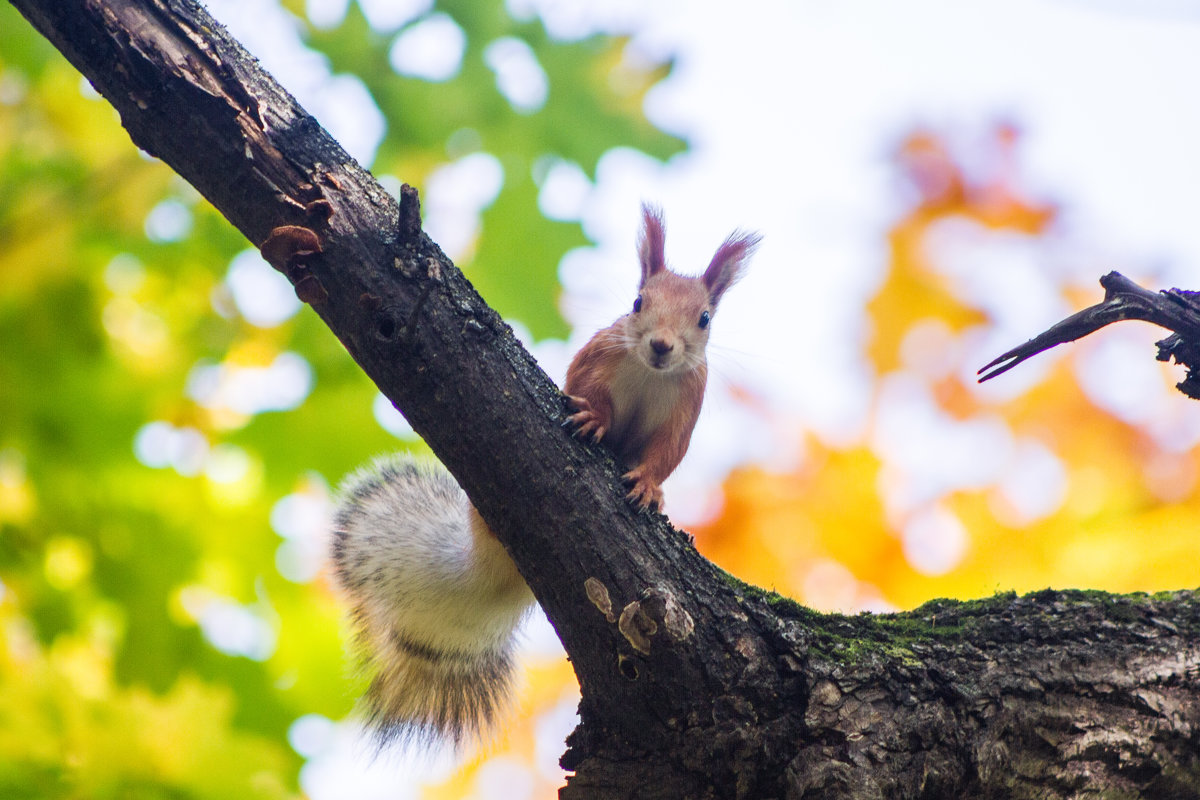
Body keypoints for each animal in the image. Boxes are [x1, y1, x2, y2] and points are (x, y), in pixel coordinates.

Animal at [328, 203, 758, 748]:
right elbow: (588, 392)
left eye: (704, 319)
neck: (649, 373)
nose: (662, 346)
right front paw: (593, 420)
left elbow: (664, 455)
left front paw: (649, 489)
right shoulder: (599, 357)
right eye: (638, 302)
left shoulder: (686, 406)